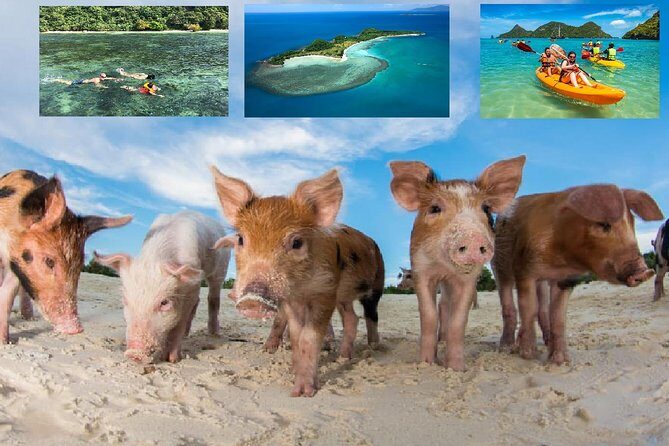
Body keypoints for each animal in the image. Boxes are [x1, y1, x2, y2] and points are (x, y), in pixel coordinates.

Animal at [0, 170, 131, 342]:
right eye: (49, 261)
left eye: (79, 265)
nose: (76, 328)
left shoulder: (17, 266)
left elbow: (7, 294)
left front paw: (6, 342)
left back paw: (29, 318)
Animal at [94, 211, 230, 363]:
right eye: (125, 300)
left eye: (164, 303)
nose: (134, 353)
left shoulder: (191, 285)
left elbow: (180, 321)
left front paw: (172, 359)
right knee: (199, 301)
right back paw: (187, 334)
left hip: (221, 268)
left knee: (213, 297)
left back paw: (214, 334)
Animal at [210, 167, 384, 397]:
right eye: (240, 239)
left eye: (297, 242)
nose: (252, 299)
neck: (302, 289)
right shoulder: (292, 301)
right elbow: (295, 335)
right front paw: (293, 374)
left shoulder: (326, 290)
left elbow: (309, 336)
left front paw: (303, 393)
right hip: (344, 298)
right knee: (351, 319)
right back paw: (343, 357)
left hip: (376, 284)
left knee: (371, 314)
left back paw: (373, 348)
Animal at [389, 156, 526, 370]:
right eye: (435, 208)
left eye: (486, 209)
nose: (473, 238)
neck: (444, 267)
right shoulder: (421, 269)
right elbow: (428, 314)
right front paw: (426, 363)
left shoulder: (468, 278)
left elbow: (459, 319)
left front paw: (456, 369)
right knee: (441, 305)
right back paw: (440, 340)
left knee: (446, 304)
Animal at [493, 184, 664, 365]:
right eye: (604, 224)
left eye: (632, 223)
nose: (645, 271)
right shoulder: (524, 269)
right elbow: (528, 309)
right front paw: (528, 355)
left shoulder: (566, 279)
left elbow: (558, 317)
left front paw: (561, 361)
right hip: (499, 264)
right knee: (508, 303)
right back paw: (506, 348)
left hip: (541, 281)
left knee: (543, 308)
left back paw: (546, 342)